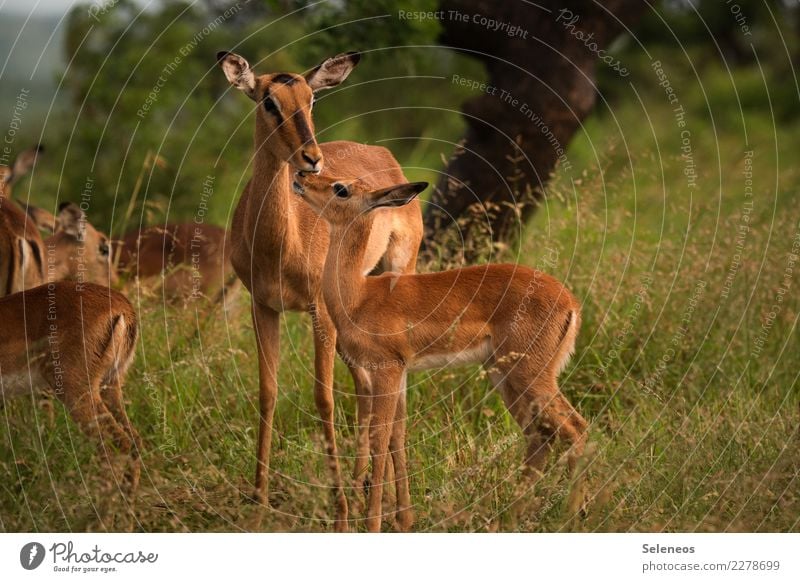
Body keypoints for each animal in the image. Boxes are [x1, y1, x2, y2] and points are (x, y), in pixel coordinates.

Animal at [216, 52, 422, 532]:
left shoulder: (318, 312)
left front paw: (340, 512)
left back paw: (398, 511)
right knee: (367, 386)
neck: (280, 242)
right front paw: (259, 500)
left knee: (394, 397)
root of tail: (386, 157)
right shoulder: (263, 307)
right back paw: (366, 484)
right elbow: (267, 392)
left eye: (311, 98)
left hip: (395, 275)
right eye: (268, 100)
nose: (311, 159)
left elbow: (323, 398)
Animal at [290, 173, 584, 532]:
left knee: (575, 428)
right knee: (540, 435)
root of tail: (570, 302)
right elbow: (397, 436)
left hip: (531, 374)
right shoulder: (399, 373)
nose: (301, 176)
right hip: (505, 376)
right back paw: (512, 517)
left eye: (341, 188)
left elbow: (379, 439)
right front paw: (404, 520)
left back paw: (571, 516)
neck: (358, 296)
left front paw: (373, 523)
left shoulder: (386, 369)